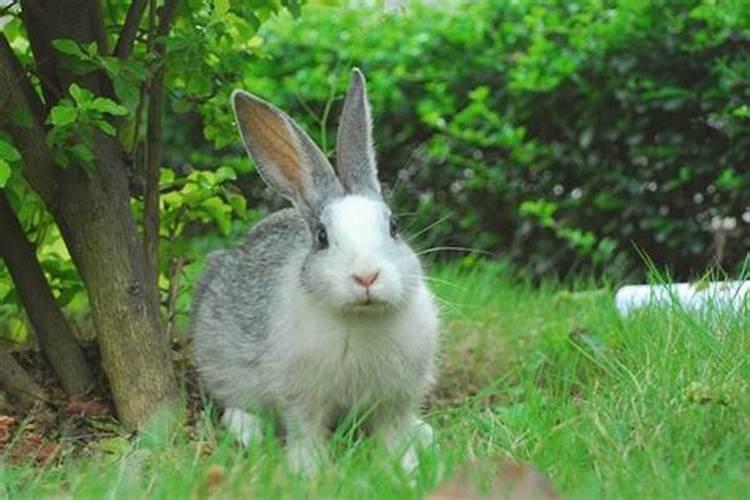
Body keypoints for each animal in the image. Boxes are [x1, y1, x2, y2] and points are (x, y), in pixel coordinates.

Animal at [192, 68, 440, 474]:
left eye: (394, 227)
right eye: (322, 237)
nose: (366, 276)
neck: (360, 318)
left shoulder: (395, 399)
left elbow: (392, 433)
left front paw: (405, 469)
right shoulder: (301, 397)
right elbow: (305, 431)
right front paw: (309, 471)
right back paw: (247, 430)